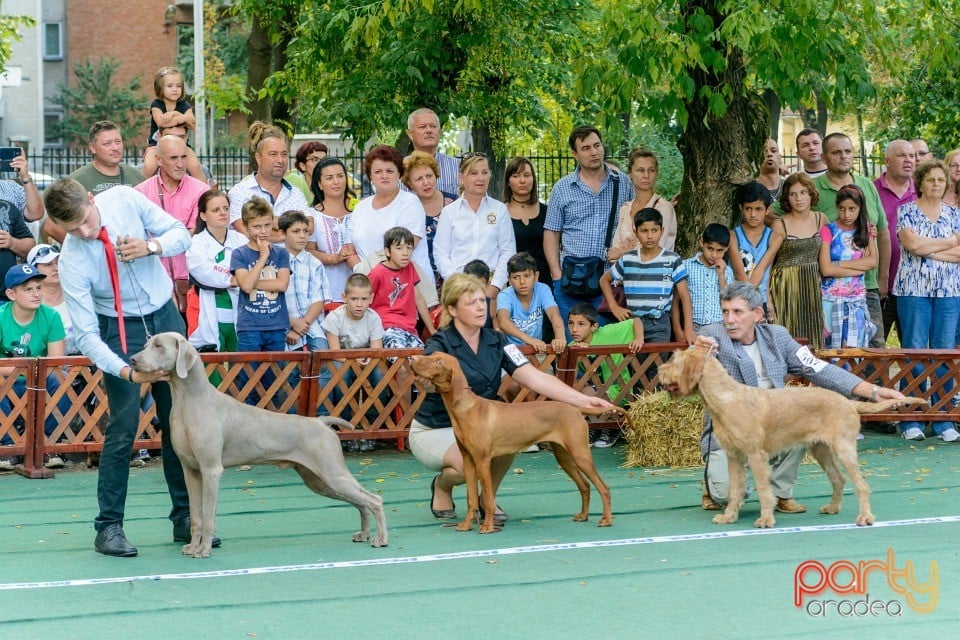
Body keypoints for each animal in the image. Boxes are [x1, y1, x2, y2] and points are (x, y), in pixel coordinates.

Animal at [129, 332, 388, 556]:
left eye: (158, 346)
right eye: (146, 344)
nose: (132, 359)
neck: (188, 400)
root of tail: (321, 422)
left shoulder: (211, 470)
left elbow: (209, 517)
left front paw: (204, 550)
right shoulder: (191, 471)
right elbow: (196, 516)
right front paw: (193, 547)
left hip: (332, 473)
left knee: (373, 499)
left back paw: (381, 538)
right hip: (318, 481)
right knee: (360, 502)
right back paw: (364, 534)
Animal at [408, 352, 620, 532]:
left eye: (438, 361)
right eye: (431, 354)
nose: (412, 358)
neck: (466, 409)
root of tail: (576, 409)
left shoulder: (482, 461)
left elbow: (487, 497)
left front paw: (487, 527)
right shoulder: (468, 461)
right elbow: (471, 498)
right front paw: (467, 525)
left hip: (580, 454)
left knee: (604, 487)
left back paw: (606, 520)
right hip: (564, 457)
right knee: (584, 486)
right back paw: (583, 516)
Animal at [656, 348, 928, 528]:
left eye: (674, 360)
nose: (659, 372)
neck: (726, 399)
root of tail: (848, 402)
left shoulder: (755, 455)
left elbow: (764, 489)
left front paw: (766, 519)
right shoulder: (734, 457)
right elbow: (734, 490)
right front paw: (729, 516)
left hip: (844, 449)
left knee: (862, 485)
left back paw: (865, 517)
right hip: (820, 450)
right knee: (839, 479)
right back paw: (832, 508)